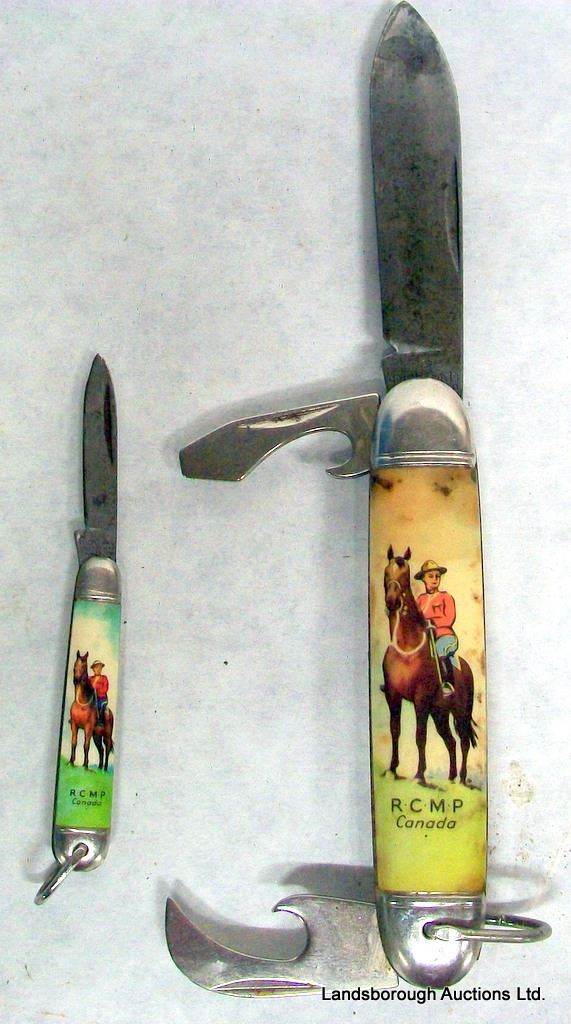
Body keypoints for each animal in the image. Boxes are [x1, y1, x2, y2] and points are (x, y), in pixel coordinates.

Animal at [380, 547, 477, 786]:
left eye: (405, 576)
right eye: (386, 573)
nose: (392, 601)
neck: (406, 647)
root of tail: (466, 668)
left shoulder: (421, 699)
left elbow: (420, 736)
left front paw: (419, 775)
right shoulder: (392, 695)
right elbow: (395, 730)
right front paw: (392, 769)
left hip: (460, 712)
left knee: (463, 741)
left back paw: (462, 780)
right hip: (439, 712)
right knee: (450, 741)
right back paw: (451, 778)